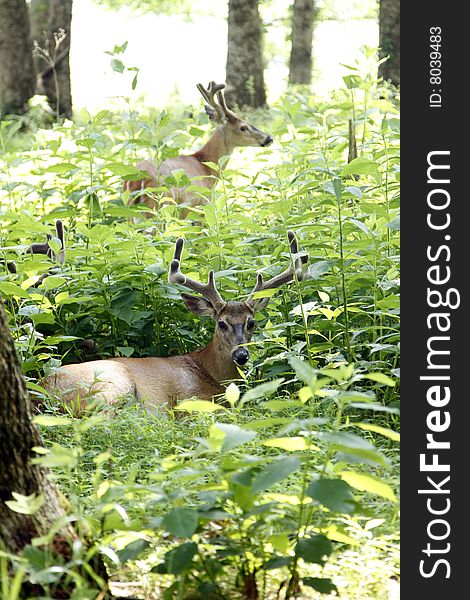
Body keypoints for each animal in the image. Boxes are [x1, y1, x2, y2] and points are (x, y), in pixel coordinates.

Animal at [41, 232, 308, 414]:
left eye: (252, 322)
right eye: (221, 323)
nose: (241, 355)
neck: (211, 374)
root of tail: (44, 391)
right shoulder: (190, 399)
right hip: (110, 384)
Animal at [123, 81, 274, 218]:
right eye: (243, 127)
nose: (269, 138)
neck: (204, 165)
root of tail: (137, 180)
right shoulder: (201, 205)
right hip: (159, 204)